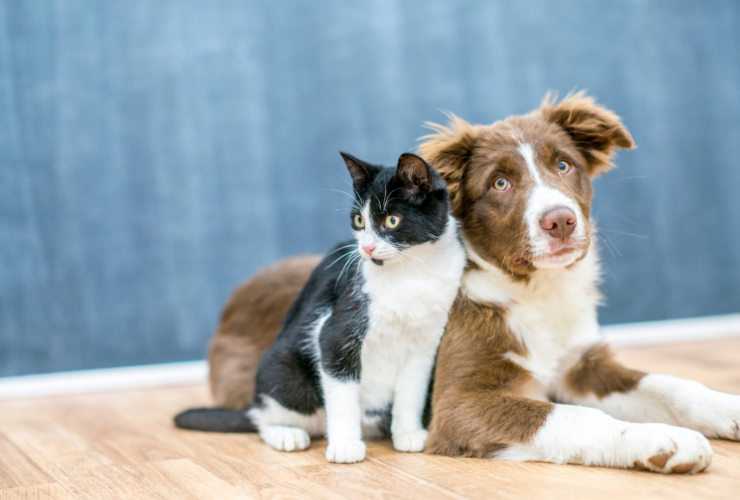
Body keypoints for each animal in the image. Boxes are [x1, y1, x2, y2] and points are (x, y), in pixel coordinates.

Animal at [174, 152, 466, 464]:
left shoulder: (425, 344)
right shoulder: (336, 333)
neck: (411, 273)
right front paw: (346, 445)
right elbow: (342, 391)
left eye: (392, 220)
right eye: (359, 220)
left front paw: (408, 433)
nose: (367, 248)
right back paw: (286, 434)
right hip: (287, 375)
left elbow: (412, 390)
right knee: (262, 417)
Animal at [204, 93, 740, 472]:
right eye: (500, 184)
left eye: (563, 165)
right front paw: (659, 439)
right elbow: (571, 416)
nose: (561, 221)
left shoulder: (582, 365)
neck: (534, 293)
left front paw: (725, 407)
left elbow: (669, 384)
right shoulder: (459, 402)